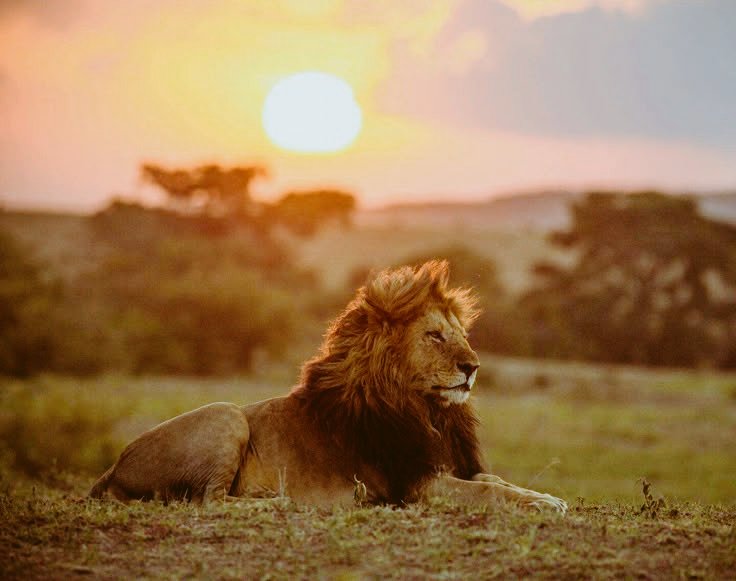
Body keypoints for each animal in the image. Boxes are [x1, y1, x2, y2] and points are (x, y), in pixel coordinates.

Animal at [89, 260, 567, 513]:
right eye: (434, 336)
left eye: (462, 334)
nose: (473, 367)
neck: (427, 410)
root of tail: (113, 467)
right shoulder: (414, 486)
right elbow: (486, 489)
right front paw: (544, 504)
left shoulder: (447, 465)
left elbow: (495, 479)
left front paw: (546, 497)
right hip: (226, 413)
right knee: (210, 500)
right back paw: (281, 502)